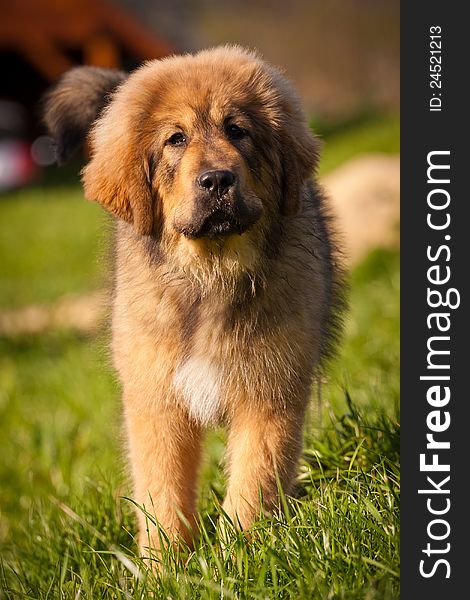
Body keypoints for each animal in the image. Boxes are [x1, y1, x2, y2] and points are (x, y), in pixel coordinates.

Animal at [44, 45, 344, 556]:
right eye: (176, 139)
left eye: (237, 130)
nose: (217, 180)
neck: (211, 275)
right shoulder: (156, 397)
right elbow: (161, 490)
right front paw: (163, 564)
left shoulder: (270, 389)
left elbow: (253, 479)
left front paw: (241, 553)